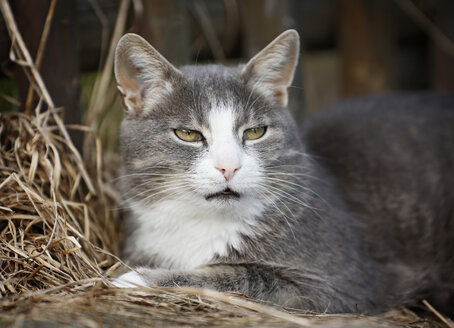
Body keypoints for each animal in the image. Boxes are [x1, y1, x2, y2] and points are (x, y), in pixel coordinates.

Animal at [112, 30, 454, 316]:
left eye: (255, 132)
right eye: (188, 134)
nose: (229, 166)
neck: (203, 224)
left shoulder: (343, 286)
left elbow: (242, 276)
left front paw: (134, 280)